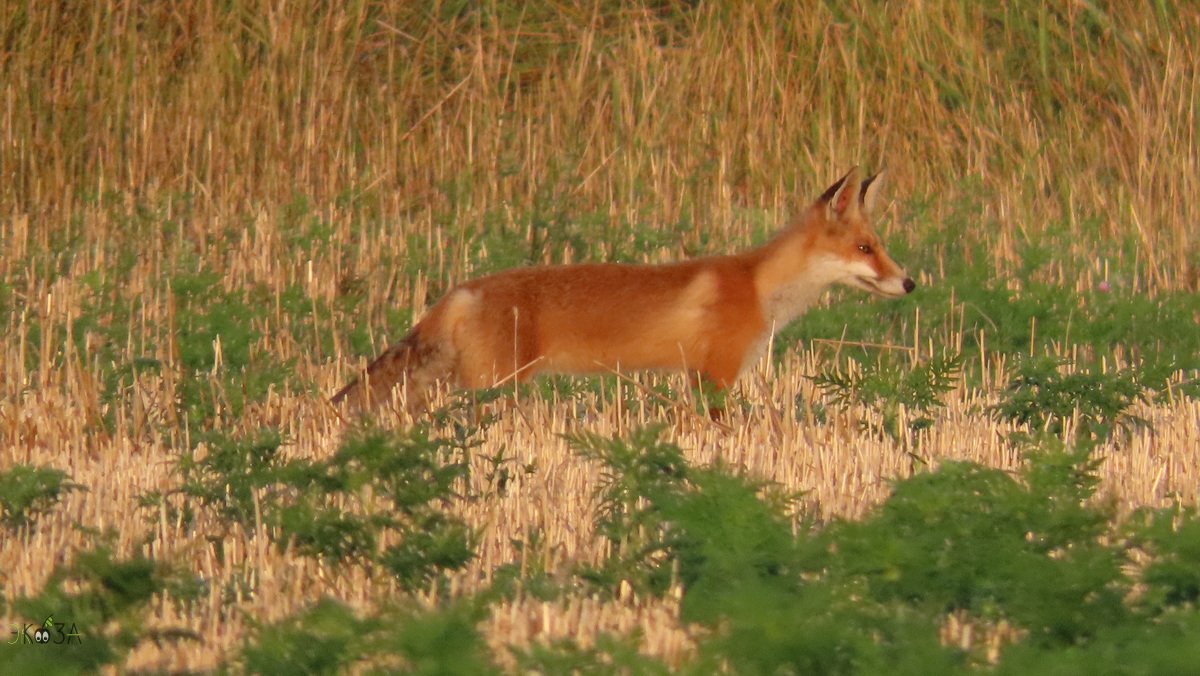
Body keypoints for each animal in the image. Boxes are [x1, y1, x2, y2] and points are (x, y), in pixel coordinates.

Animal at [333, 169, 912, 413]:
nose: (908, 282)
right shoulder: (715, 377)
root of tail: (462, 289)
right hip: (490, 385)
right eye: (865, 248)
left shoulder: (697, 377)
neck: (758, 286)